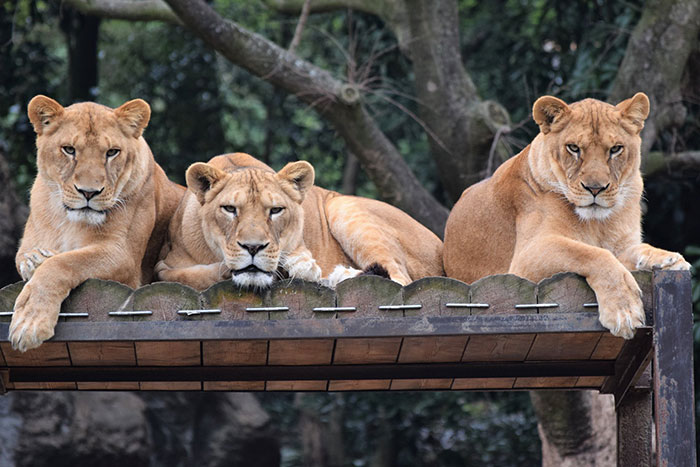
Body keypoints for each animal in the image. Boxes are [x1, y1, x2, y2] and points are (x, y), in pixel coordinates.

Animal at [9, 95, 185, 351]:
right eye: (69, 149)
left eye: (112, 152)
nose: (89, 192)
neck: (69, 221)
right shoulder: (28, 244)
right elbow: (25, 257)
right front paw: (36, 259)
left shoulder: (122, 256)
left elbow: (62, 263)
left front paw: (29, 324)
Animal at [155, 153, 444, 290]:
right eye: (229, 209)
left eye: (275, 210)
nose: (253, 248)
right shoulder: (163, 263)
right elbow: (188, 276)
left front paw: (299, 267)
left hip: (341, 206)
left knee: (399, 278)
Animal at [443, 93, 690, 339]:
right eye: (573, 148)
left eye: (615, 149)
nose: (595, 189)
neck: (598, 223)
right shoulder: (526, 257)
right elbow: (592, 253)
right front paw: (624, 310)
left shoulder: (622, 245)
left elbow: (635, 250)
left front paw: (669, 259)